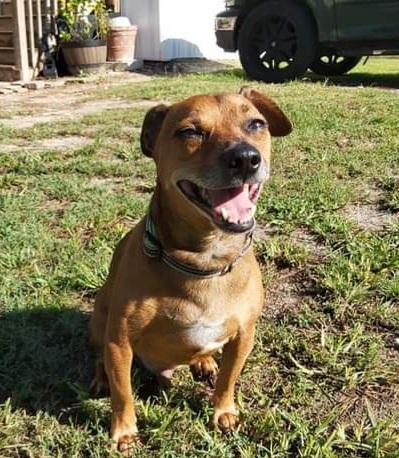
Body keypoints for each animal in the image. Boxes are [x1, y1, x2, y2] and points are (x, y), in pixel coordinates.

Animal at [90, 87, 290, 454]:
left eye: (256, 124)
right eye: (190, 131)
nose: (245, 158)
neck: (205, 263)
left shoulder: (244, 335)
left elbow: (228, 379)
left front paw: (223, 411)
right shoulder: (119, 343)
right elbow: (123, 393)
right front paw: (123, 432)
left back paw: (204, 362)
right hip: (99, 321)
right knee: (100, 359)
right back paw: (100, 378)